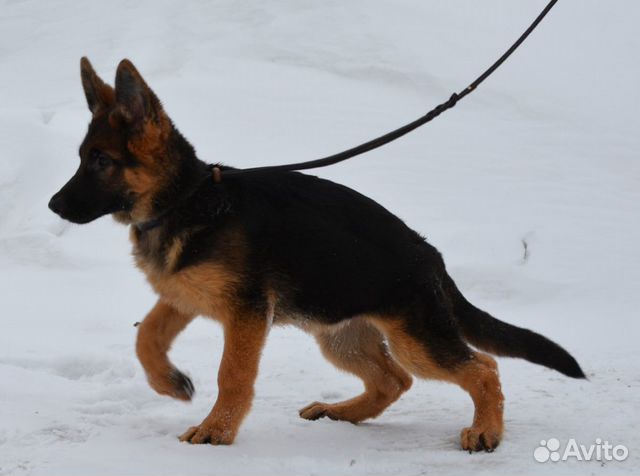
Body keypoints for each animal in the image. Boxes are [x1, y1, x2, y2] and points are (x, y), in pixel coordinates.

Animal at [50, 57, 584, 452]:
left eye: (101, 161)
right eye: (80, 158)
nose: (54, 205)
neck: (186, 199)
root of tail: (432, 259)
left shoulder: (246, 314)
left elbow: (232, 375)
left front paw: (217, 430)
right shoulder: (184, 297)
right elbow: (146, 338)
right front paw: (171, 383)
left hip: (414, 338)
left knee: (481, 368)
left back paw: (486, 430)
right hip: (339, 336)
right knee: (394, 381)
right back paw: (341, 412)